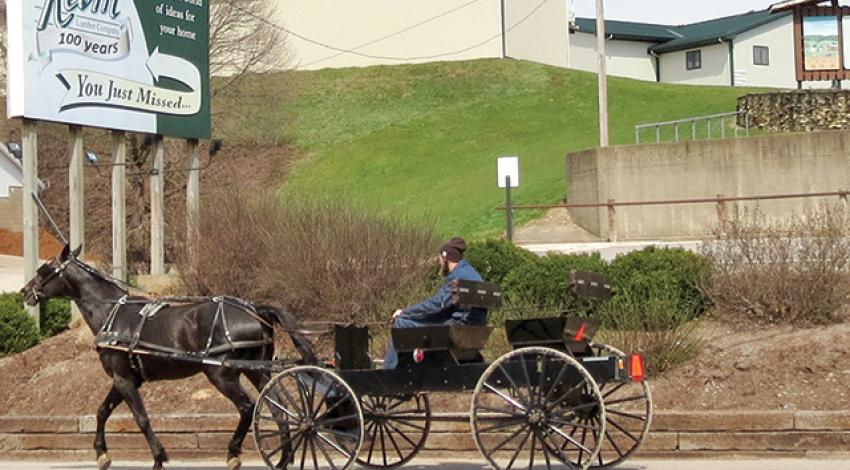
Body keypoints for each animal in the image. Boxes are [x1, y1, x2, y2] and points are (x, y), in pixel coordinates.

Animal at [21, 246, 316, 470]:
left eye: (44, 270)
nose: (25, 291)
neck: (113, 315)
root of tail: (255, 309)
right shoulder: (125, 379)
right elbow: (102, 411)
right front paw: (102, 454)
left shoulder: (123, 379)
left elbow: (141, 418)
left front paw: (158, 457)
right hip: (256, 370)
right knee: (277, 409)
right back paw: (283, 458)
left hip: (221, 373)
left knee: (248, 407)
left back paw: (233, 453)